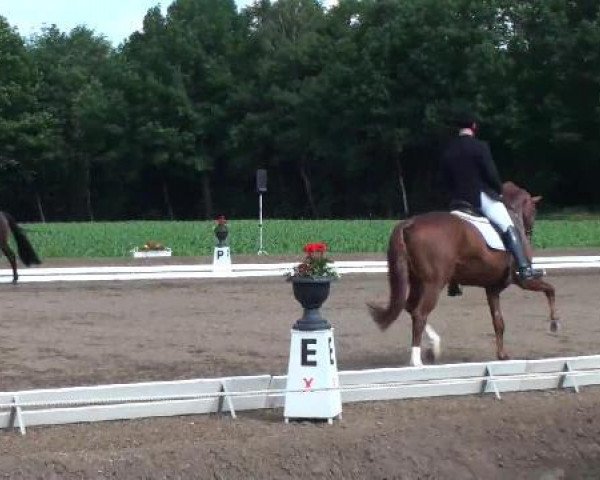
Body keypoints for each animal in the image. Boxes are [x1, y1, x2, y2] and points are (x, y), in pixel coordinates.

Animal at [368, 182, 560, 366]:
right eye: (534, 210)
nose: (529, 234)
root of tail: (410, 223)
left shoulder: (492, 288)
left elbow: (498, 322)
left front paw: (502, 355)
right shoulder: (523, 280)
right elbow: (550, 289)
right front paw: (554, 324)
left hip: (416, 280)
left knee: (410, 308)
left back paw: (433, 348)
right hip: (433, 283)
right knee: (419, 313)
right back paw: (416, 361)